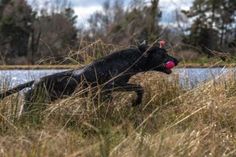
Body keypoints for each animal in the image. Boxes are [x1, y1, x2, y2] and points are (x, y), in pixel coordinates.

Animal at [0, 41, 177, 108]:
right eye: (163, 53)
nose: (178, 59)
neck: (131, 59)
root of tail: (35, 81)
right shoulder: (113, 85)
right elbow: (139, 87)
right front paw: (136, 102)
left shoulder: (106, 92)